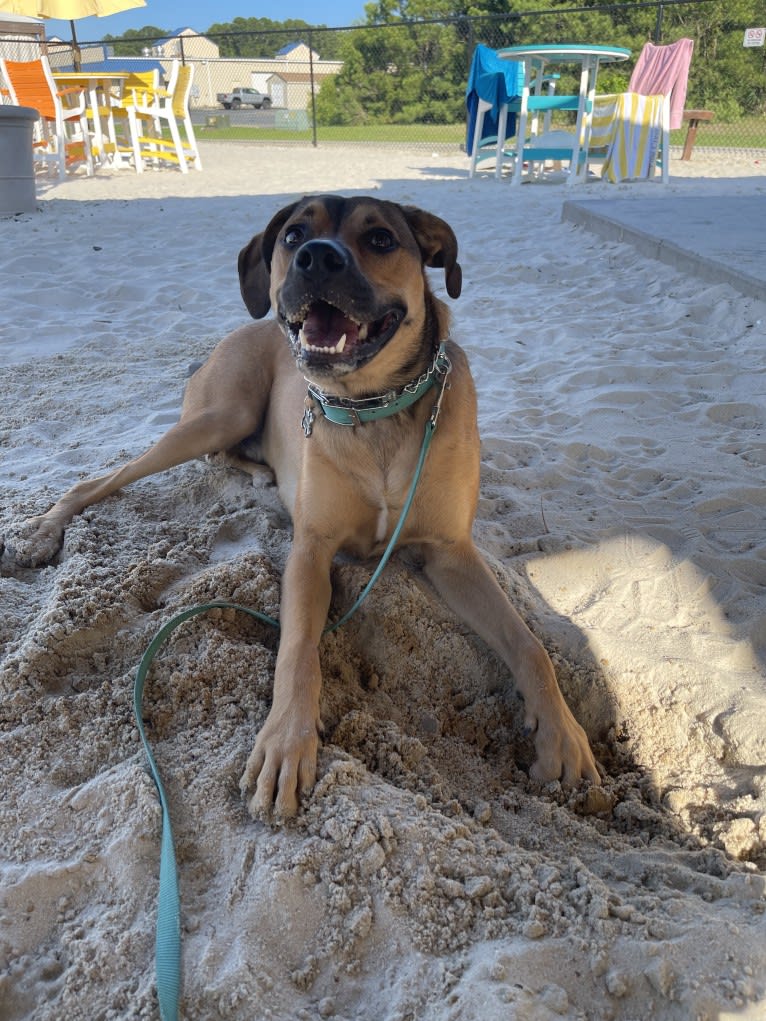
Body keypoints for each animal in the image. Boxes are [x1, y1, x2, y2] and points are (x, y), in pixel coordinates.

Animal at [9, 195, 604, 816]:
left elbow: (530, 645)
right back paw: (43, 532)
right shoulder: (311, 551)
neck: (373, 408)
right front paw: (286, 743)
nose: (317, 258)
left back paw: (258, 474)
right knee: (103, 478)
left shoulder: (452, 554)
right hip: (220, 413)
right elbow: (297, 650)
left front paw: (562, 735)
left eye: (382, 238)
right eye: (294, 235)